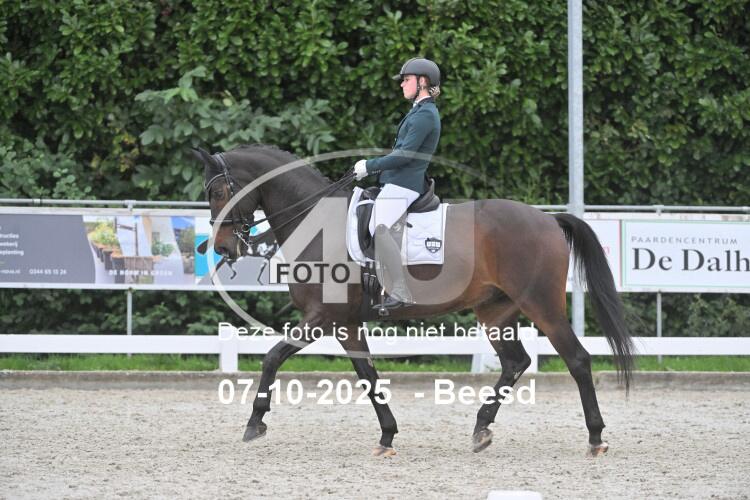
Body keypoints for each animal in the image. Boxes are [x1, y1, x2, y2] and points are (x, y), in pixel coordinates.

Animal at [191, 144, 635, 457]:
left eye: (220, 190)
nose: (223, 248)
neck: (317, 223)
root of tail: (547, 219)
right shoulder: (346, 324)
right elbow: (369, 378)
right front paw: (387, 436)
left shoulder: (321, 317)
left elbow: (271, 357)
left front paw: (254, 422)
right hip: (495, 311)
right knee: (516, 362)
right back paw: (481, 429)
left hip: (541, 305)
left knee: (577, 359)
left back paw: (596, 436)